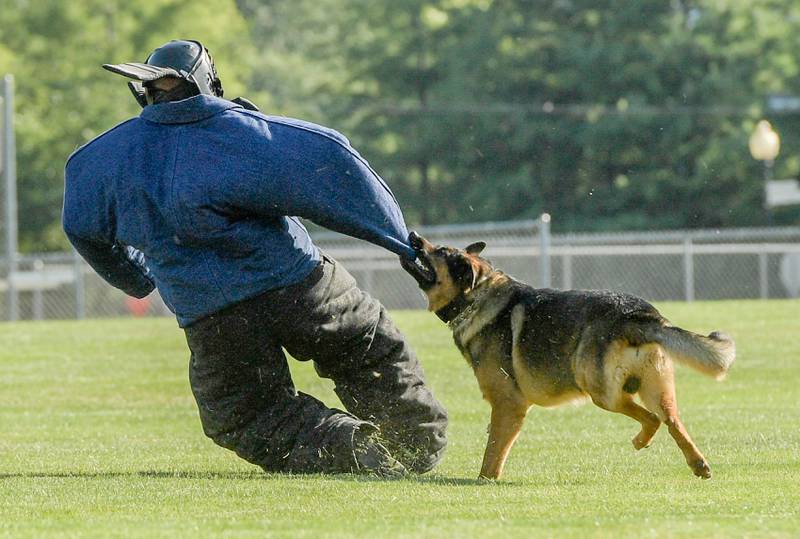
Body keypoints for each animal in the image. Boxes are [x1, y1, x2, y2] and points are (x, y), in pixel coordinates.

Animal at [404, 233, 736, 480]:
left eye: (440, 251)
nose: (414, 236)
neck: (475, 297)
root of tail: (639, 315)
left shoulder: (508, 405)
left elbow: (492, 456)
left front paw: (484, 481)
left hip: (600, 391)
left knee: (651, 418)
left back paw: (645, 442)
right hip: (653, 389)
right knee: (670, 420)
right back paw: (695, 463)